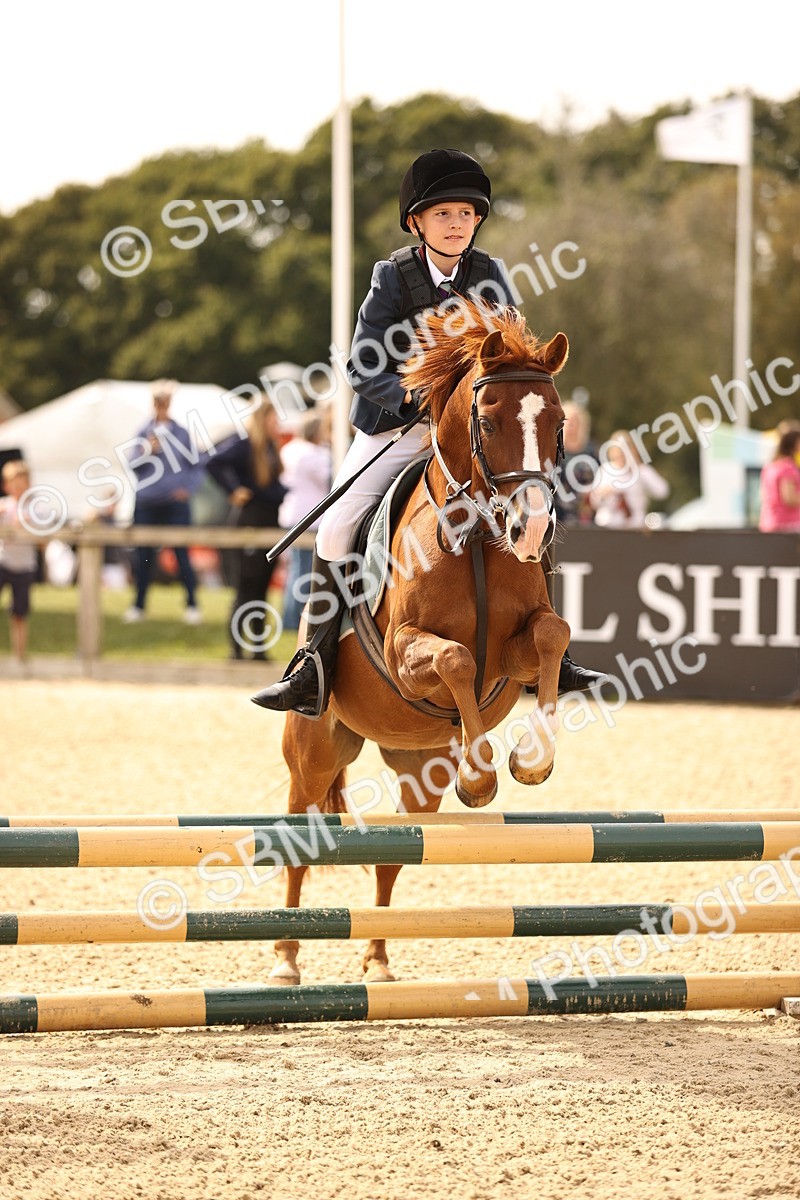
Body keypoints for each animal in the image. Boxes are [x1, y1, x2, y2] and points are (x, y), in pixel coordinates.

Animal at [273, 298, 571, 984]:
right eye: (487, 422)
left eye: (559, 423)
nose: (532, 528)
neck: (480, 537)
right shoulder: (407, 649)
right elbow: (455, 657)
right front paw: (482, 778)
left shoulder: (515, 653)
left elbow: (552, 633)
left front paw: (529, 760)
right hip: (313, 753)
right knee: (299, 844)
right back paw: (286, 961)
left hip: (420, 774)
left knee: (394, 853)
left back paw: (378, 961)